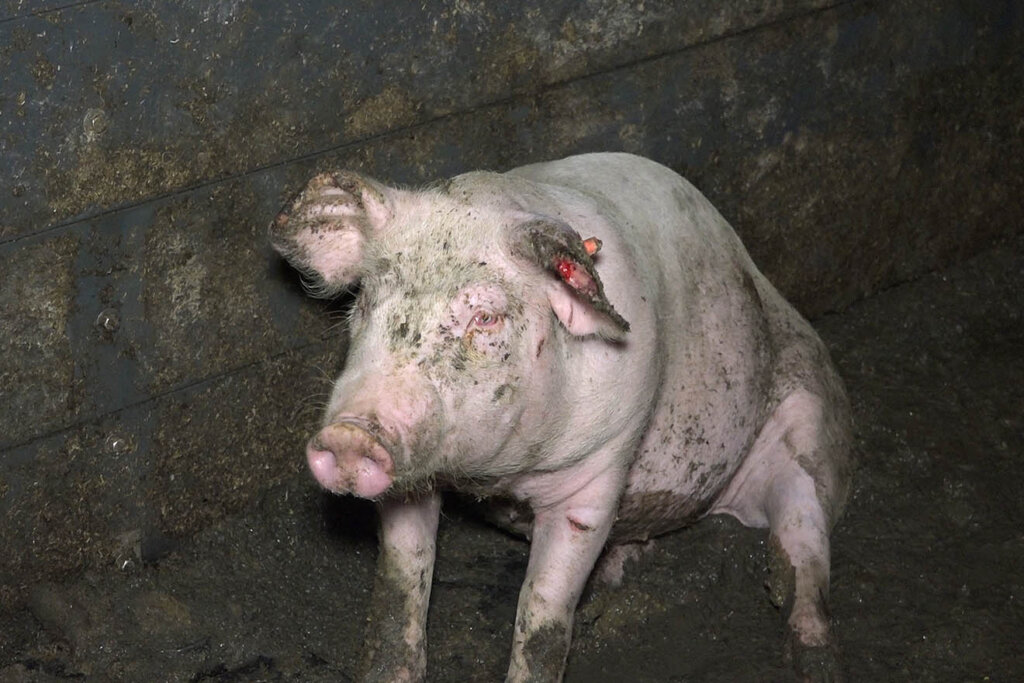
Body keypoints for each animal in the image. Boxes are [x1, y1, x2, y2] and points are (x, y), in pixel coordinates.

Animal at [270, 152, 852, 682]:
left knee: (805, 545)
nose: (350, 434)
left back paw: (813, 658)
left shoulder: (600, 466)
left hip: (811, 419)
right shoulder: (412, 479)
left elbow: (544, 612)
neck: (498, 474)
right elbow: (400, 583)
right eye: (367, 301)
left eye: (486, 317)